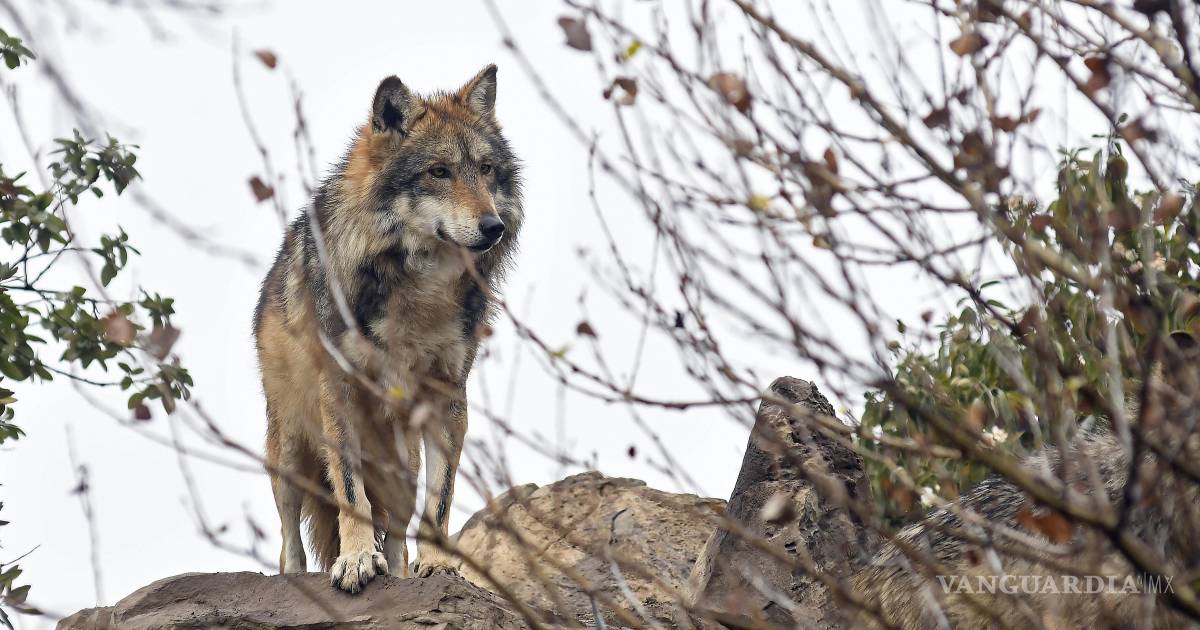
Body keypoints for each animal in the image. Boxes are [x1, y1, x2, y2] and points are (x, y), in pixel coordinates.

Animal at [253, 64, 522, 593]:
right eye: (438, 172)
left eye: (485, 170)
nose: (493, 226)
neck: (419, 289)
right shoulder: (338, 389)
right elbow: (350, 493)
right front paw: (356, 559)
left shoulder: (448, 398)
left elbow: (441, 500)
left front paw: (438, 565)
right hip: (289, 453)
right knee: (289, 545)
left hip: (400, 466)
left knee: (397, 537)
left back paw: (398, 571)